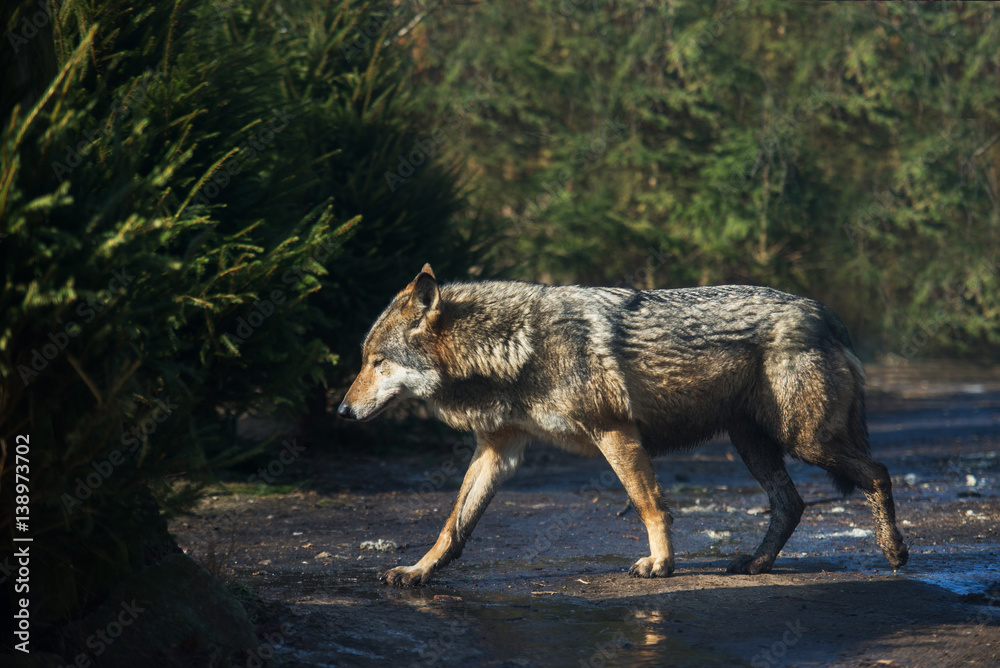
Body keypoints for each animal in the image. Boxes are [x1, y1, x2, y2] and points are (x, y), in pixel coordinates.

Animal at [338, 264, 908, 586]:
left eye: (376, 362)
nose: (341, 412)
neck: (512, 348)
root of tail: (825, 313)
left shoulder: (615, 431)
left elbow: (649, 504)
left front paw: (660, 565)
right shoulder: (498, 451)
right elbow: (453, 526)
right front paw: (418, 572)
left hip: (805, 440)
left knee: (877, 472)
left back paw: (894, 552)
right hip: (754, 445)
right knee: (792, 504)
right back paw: (757, 565)